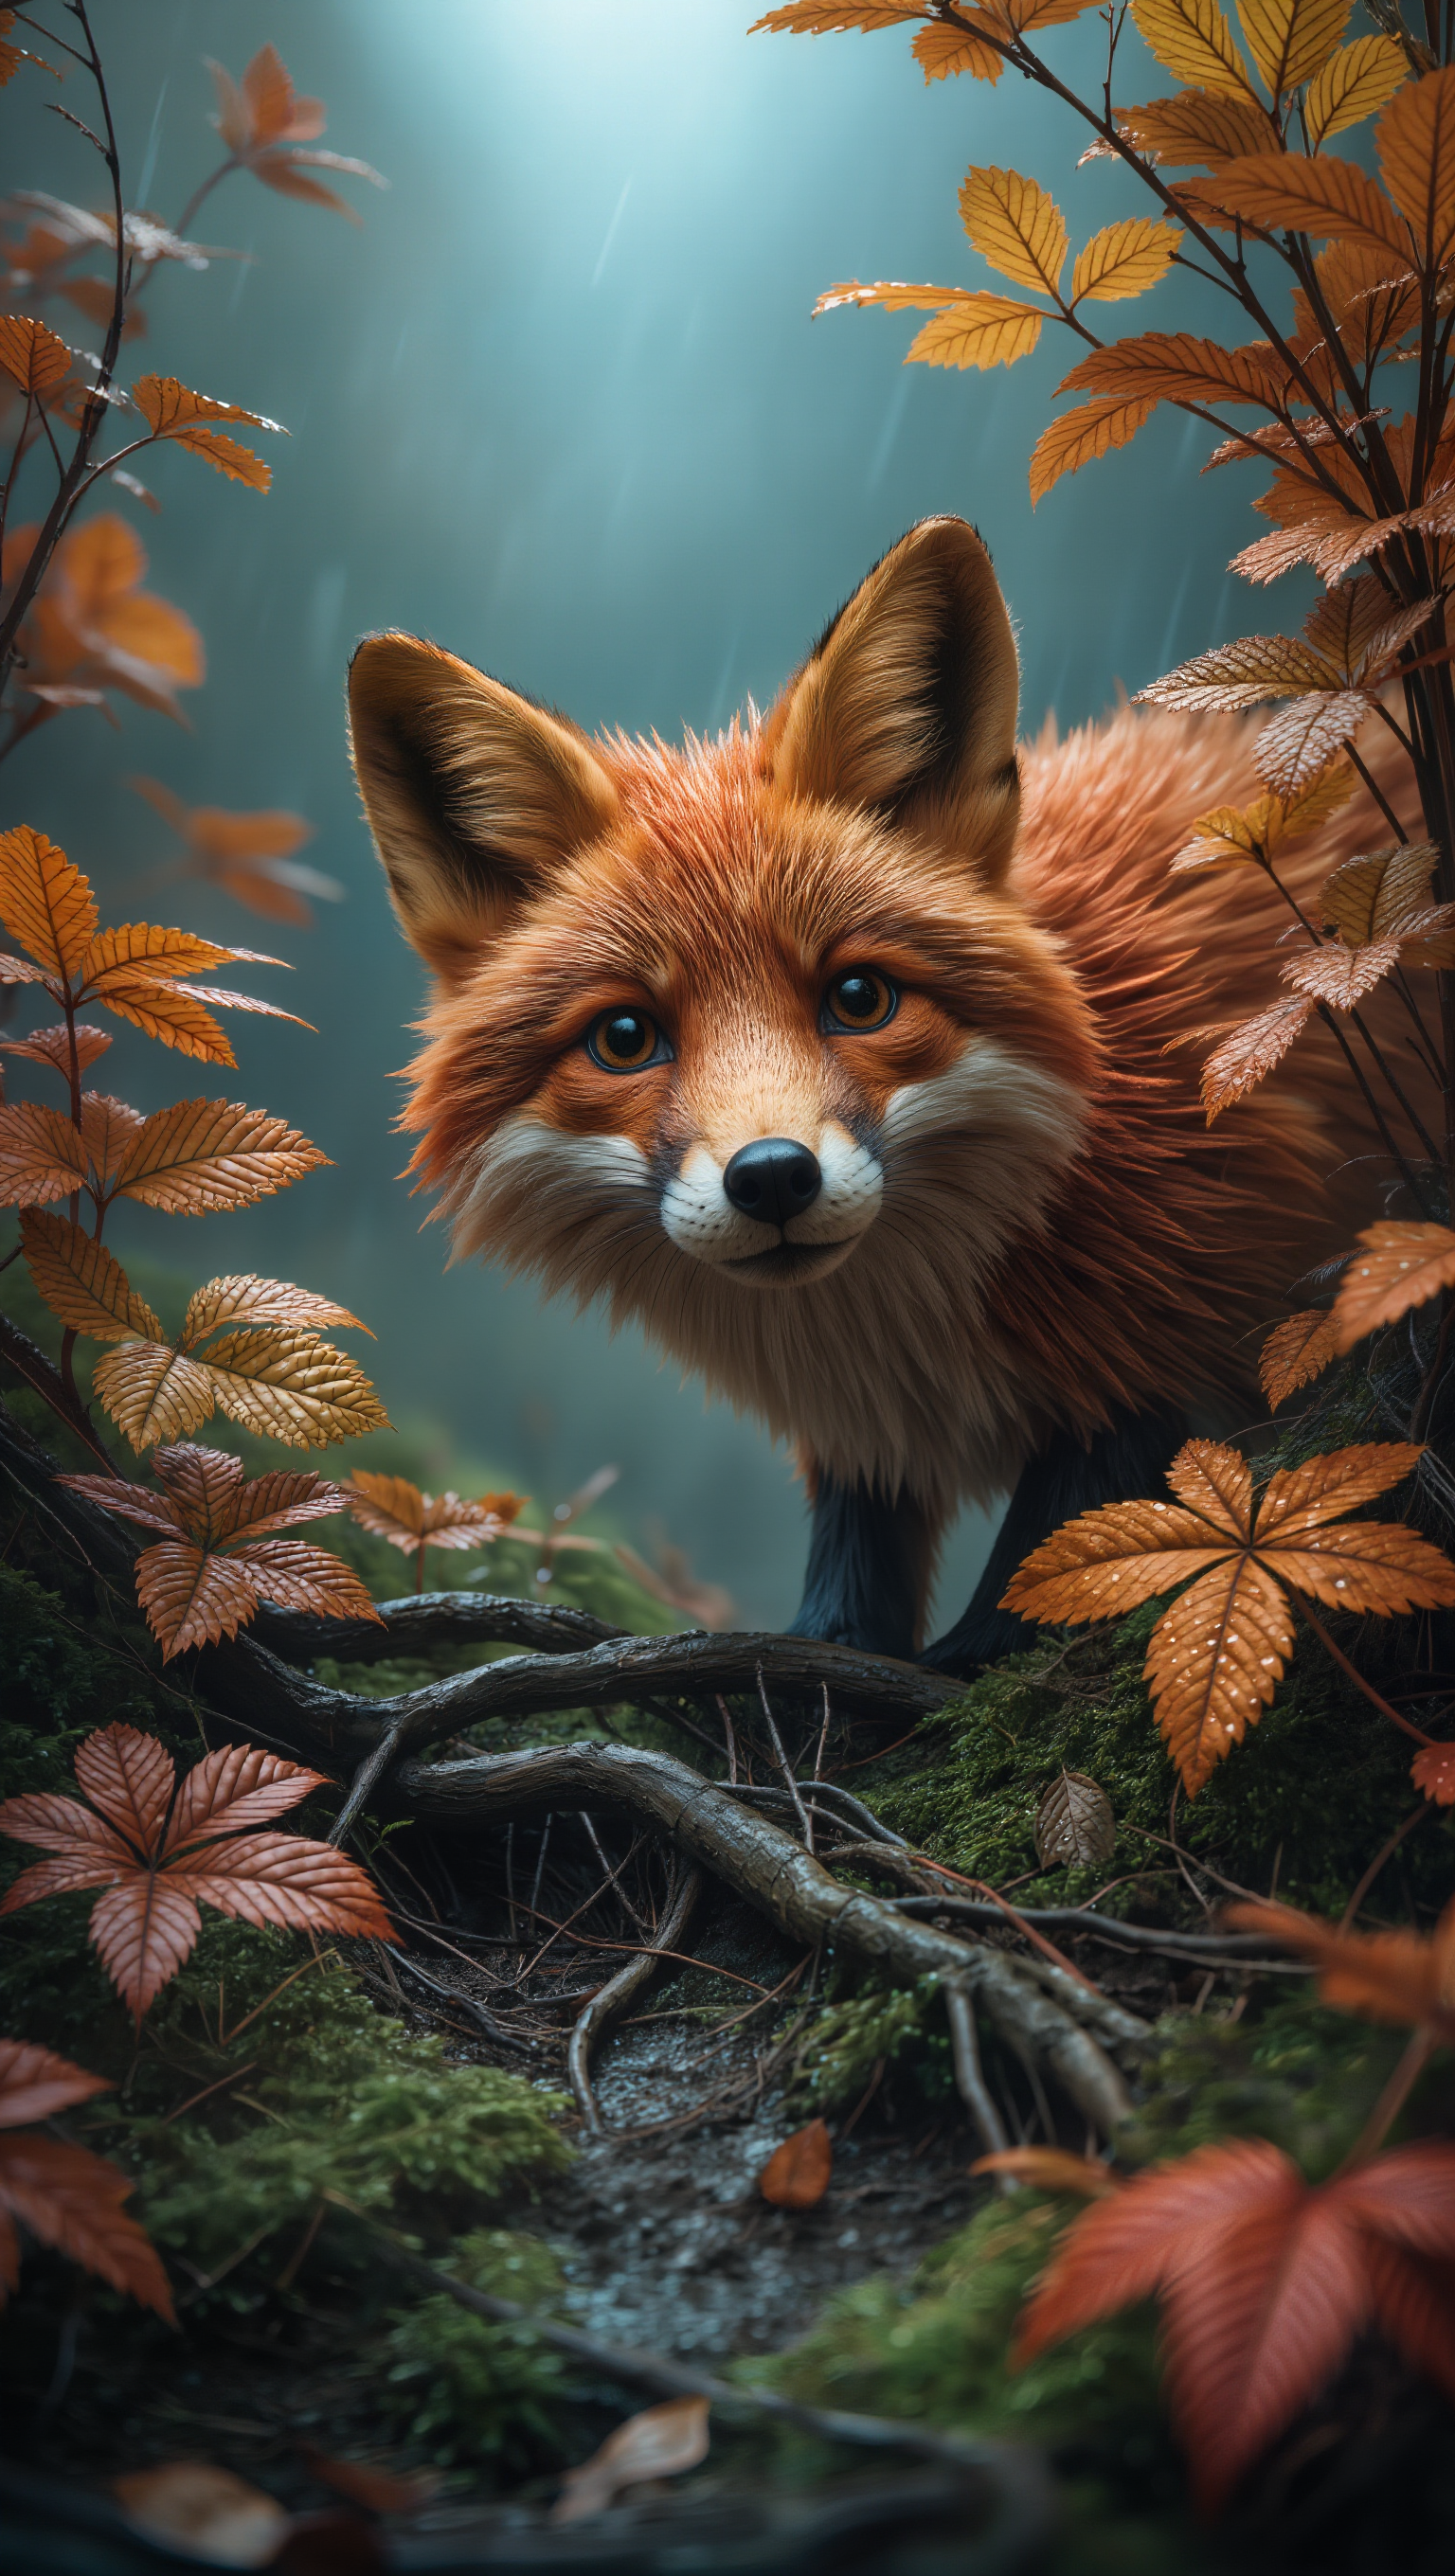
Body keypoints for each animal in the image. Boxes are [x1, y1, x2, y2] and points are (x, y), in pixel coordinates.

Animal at [347, 515, 1418, 1674]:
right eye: (625, 1037)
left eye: (858, 997)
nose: (773, 1178)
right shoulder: (871, 1442)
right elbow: (856, 1582)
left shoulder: (1169, 1330)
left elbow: (1047, 1555)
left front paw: (974, 1666)